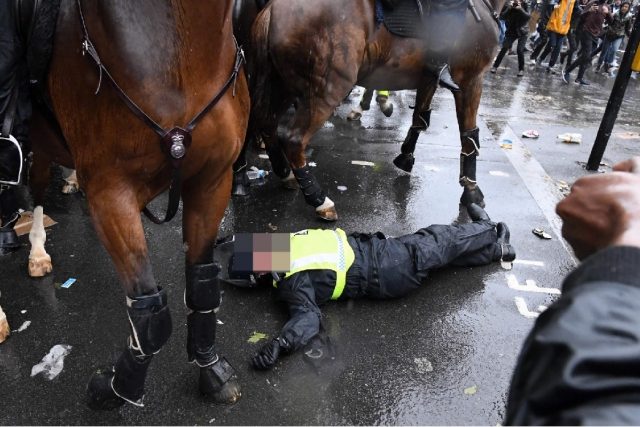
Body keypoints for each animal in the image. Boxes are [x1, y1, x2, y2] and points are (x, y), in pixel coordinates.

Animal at [28, 0, 248, 410]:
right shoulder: (110, 193)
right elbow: (150, 311)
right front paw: (117, 387)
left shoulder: (213, 179)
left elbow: (202, 285)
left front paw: (210, 368)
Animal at [245, 0, 504, 221]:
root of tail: (274, 8)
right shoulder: (471, 81)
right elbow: (468, 136)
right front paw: (471, 191)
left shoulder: (429, 80)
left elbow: (420, 119)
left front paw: (405, 157)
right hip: (326, 89)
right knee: (293, 138)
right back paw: (319, 200)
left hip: (281, 85)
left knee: (267, 123)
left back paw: (285, 173)